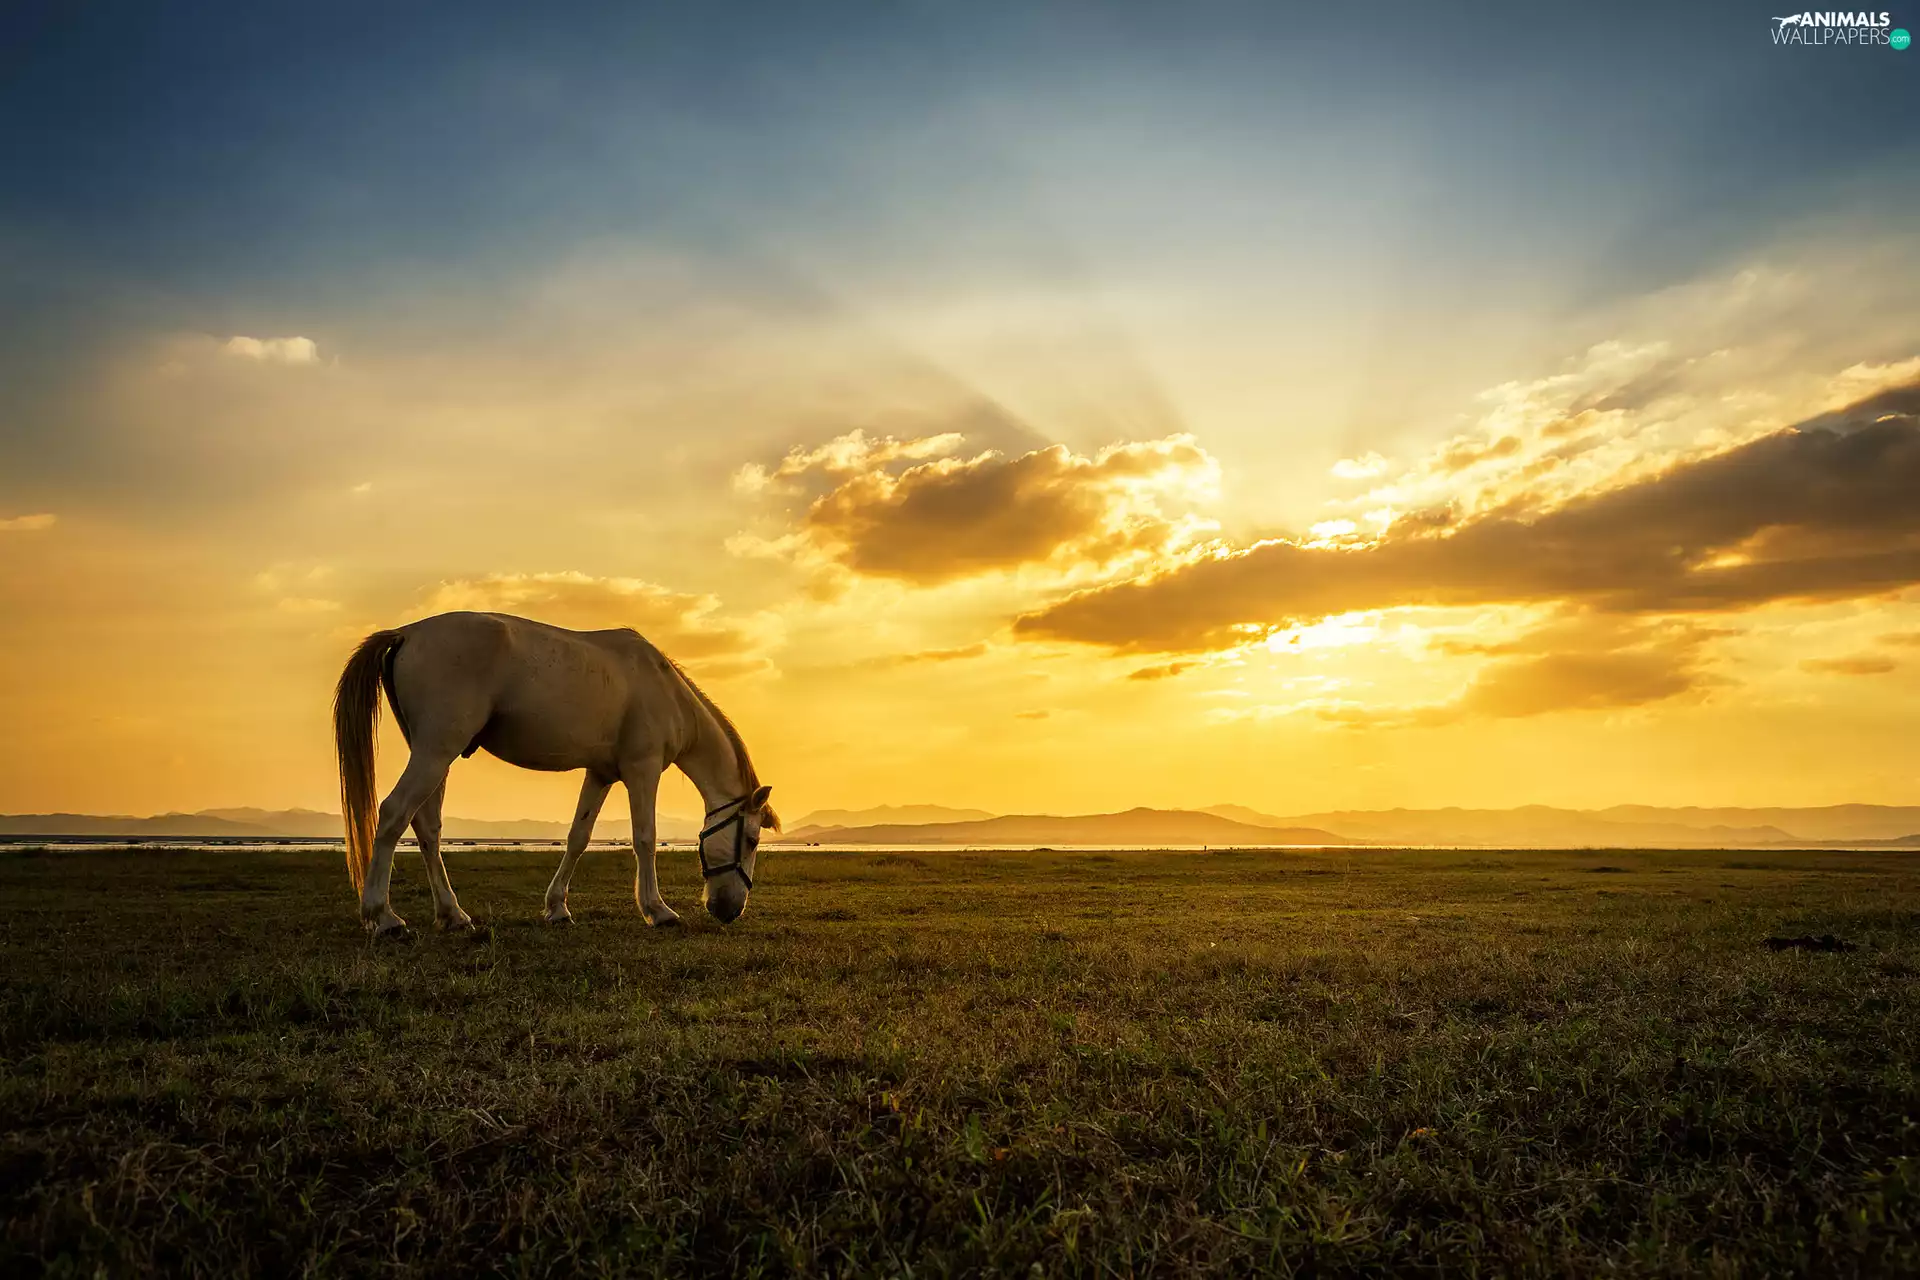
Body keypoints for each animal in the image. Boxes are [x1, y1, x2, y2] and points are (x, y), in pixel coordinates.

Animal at [332, 610, 778, 937]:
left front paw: (557, 907)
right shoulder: (643, 770)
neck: (663, 688)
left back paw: (453, 914)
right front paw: (658, 910)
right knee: (394, 813)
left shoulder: (600, 774)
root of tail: (407, 633)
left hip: (433, 754)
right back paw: (383, 916)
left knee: (427, 827)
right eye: (752, 840)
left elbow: (578, 837)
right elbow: (645, 838)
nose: (730, 910)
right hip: (435, 751)